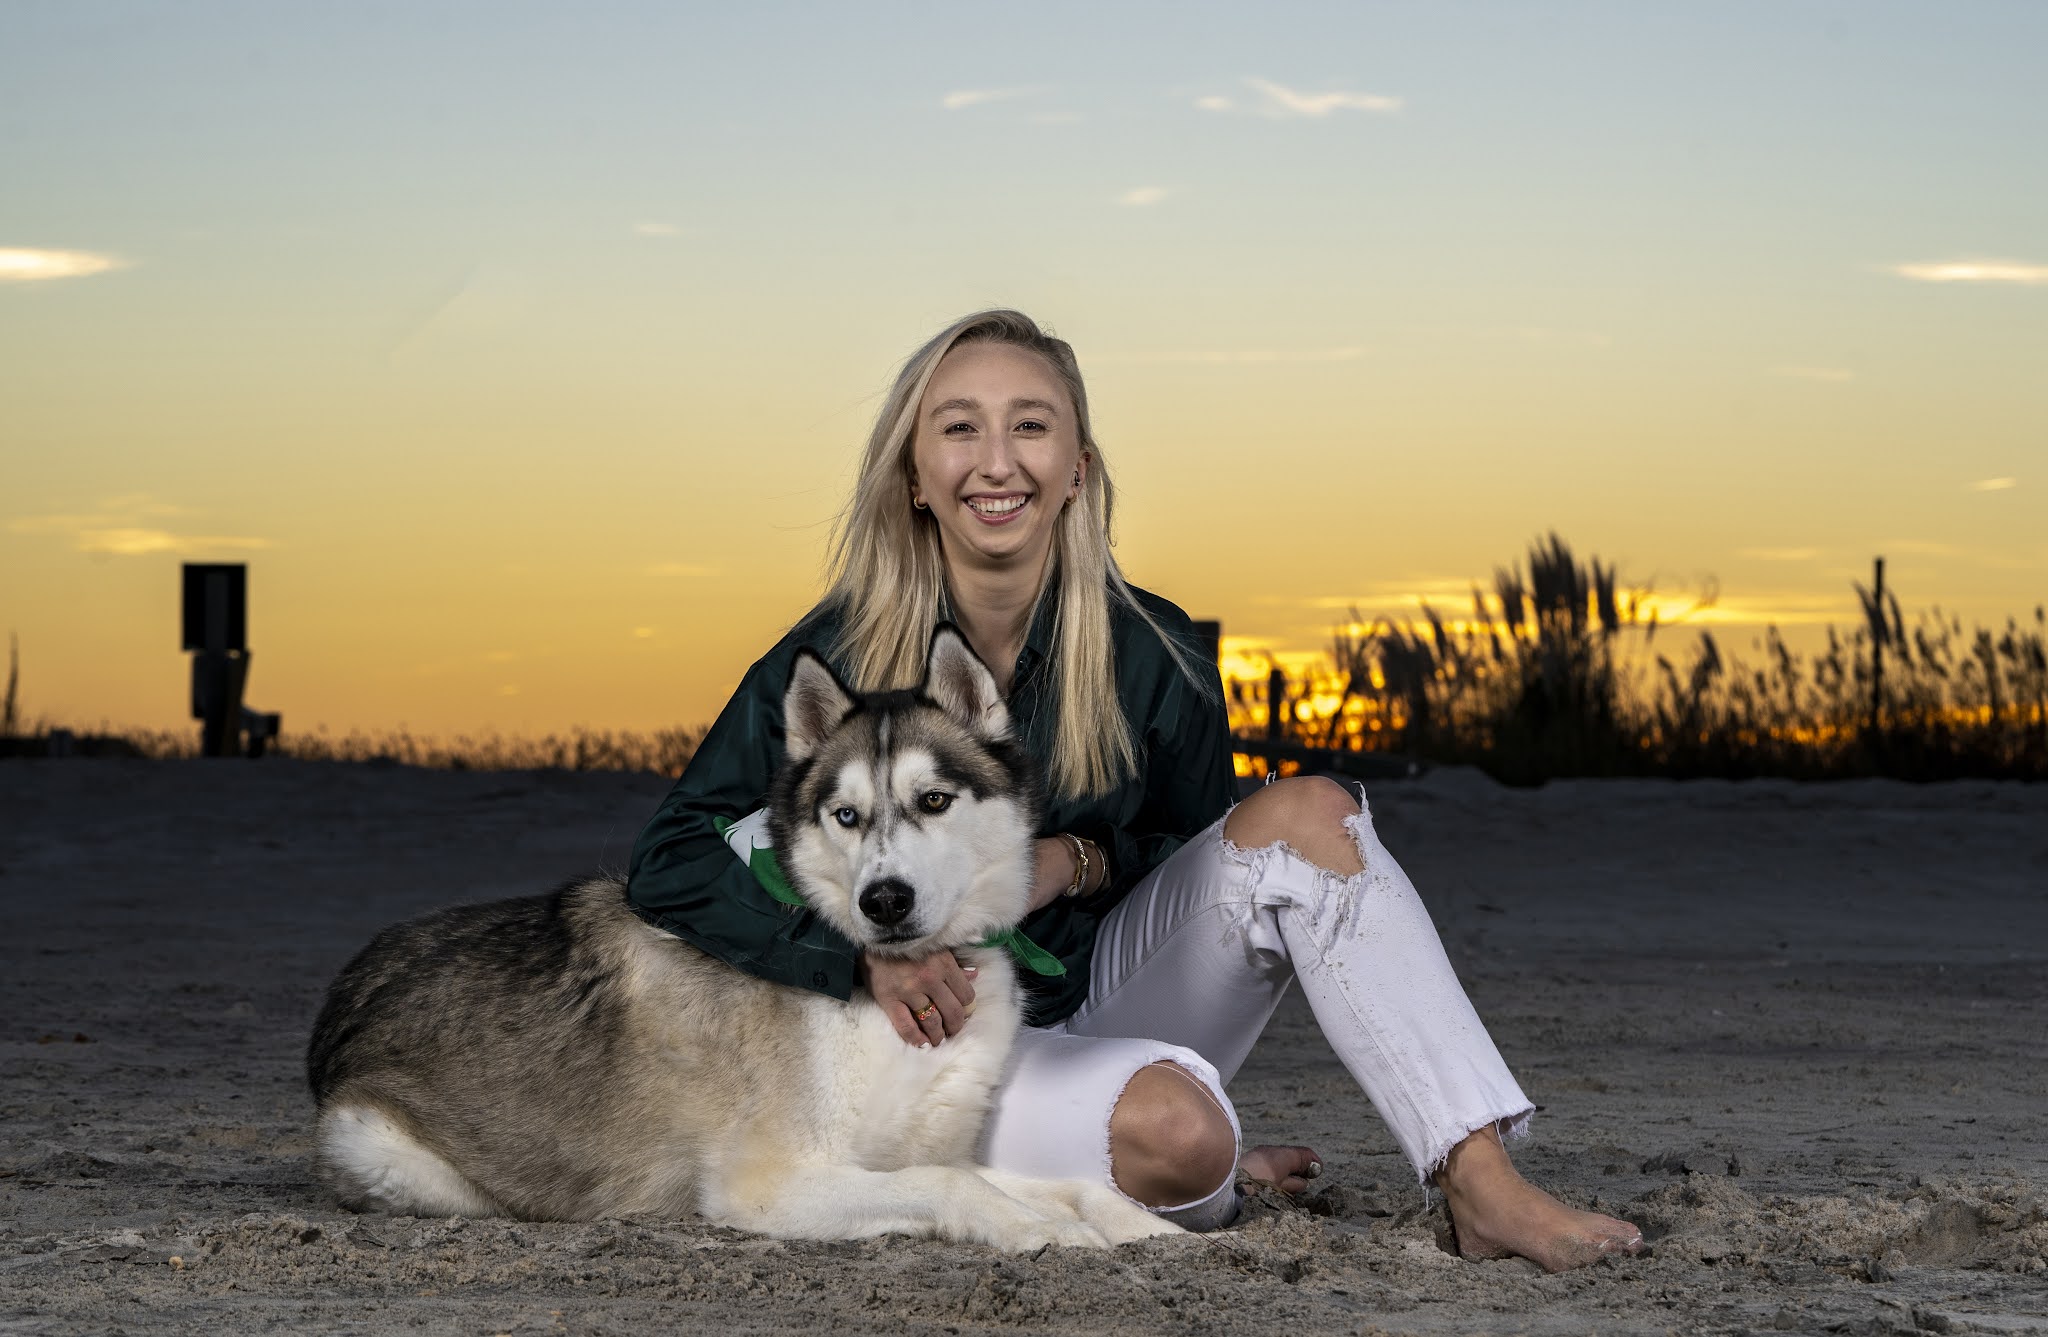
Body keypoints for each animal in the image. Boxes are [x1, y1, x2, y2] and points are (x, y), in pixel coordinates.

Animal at [296, 630, 1179, 1244]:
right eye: (846, 815)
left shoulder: (926, 1148)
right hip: (386, 1149)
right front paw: (1040, 1229)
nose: (883, 900)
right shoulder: (771, 1182)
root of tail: (349, 987)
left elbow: (1053, 1179)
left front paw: (1137, 1223)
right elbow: (956, 1186)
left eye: (933, 799)